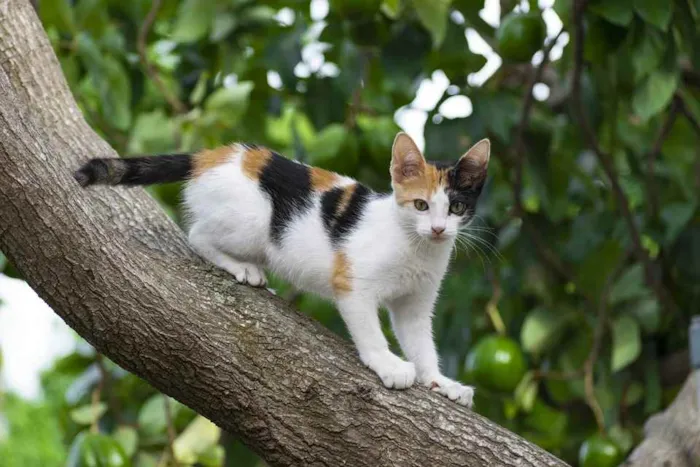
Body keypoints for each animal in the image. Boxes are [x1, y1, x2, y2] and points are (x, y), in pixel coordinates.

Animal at [76, 133, 490, 408]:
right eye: (421, 205)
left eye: (455, 208)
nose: (438, 230)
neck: (416, 246)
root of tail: (213, 156)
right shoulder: (353, 284)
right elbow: (371, 333)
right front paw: (389, 365)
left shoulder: (415, 305)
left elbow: (422, 343)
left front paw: (439, 381)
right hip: (252, 221)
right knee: (196, 235)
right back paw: (243, 268)